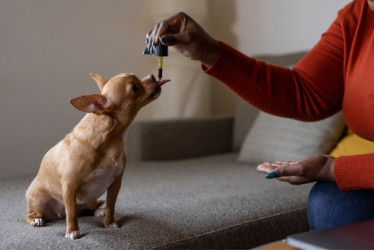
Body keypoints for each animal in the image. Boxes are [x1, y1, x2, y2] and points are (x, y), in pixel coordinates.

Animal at [24, 72, 168, 238]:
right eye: (134, 87)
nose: (152, 76)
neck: (111, 140)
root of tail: (58, 215)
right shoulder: (69, 185)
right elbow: (71, 212)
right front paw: (72, 231)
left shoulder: (115, 183)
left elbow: (111, 205)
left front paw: (109, 222)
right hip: (37, 201)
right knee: (38, 214)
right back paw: (36, 220)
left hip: (91, 199)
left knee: (88, 208)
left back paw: (98, 211)